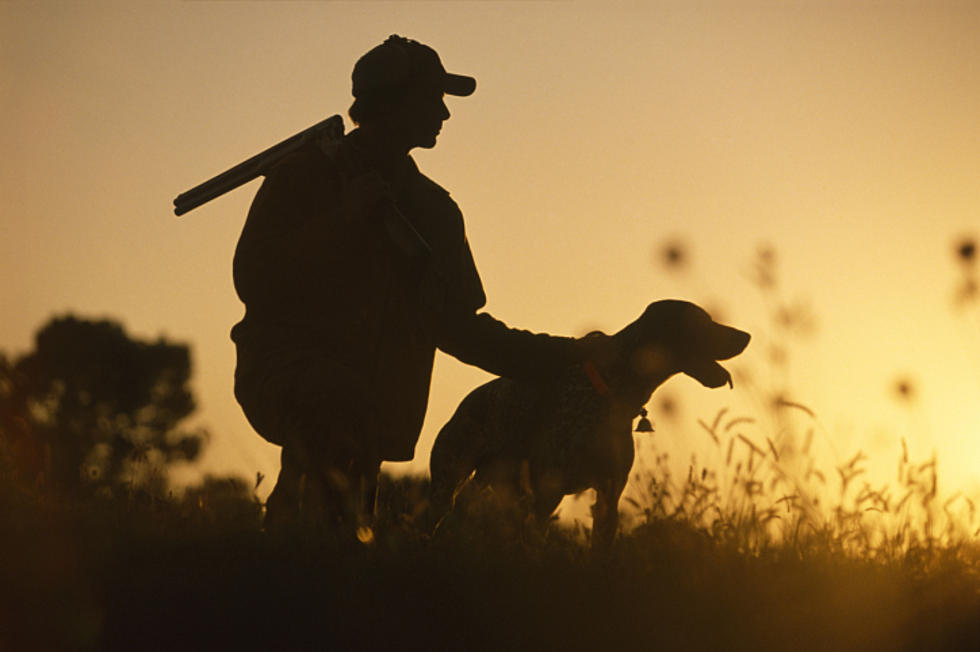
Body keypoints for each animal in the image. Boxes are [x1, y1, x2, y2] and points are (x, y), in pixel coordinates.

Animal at [428, 304, 752, 548]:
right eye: (703, 322)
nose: (746, 335)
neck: (612, 390)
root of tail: (467, 402)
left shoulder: (610, 495)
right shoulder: (547, 493)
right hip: (448, 487)